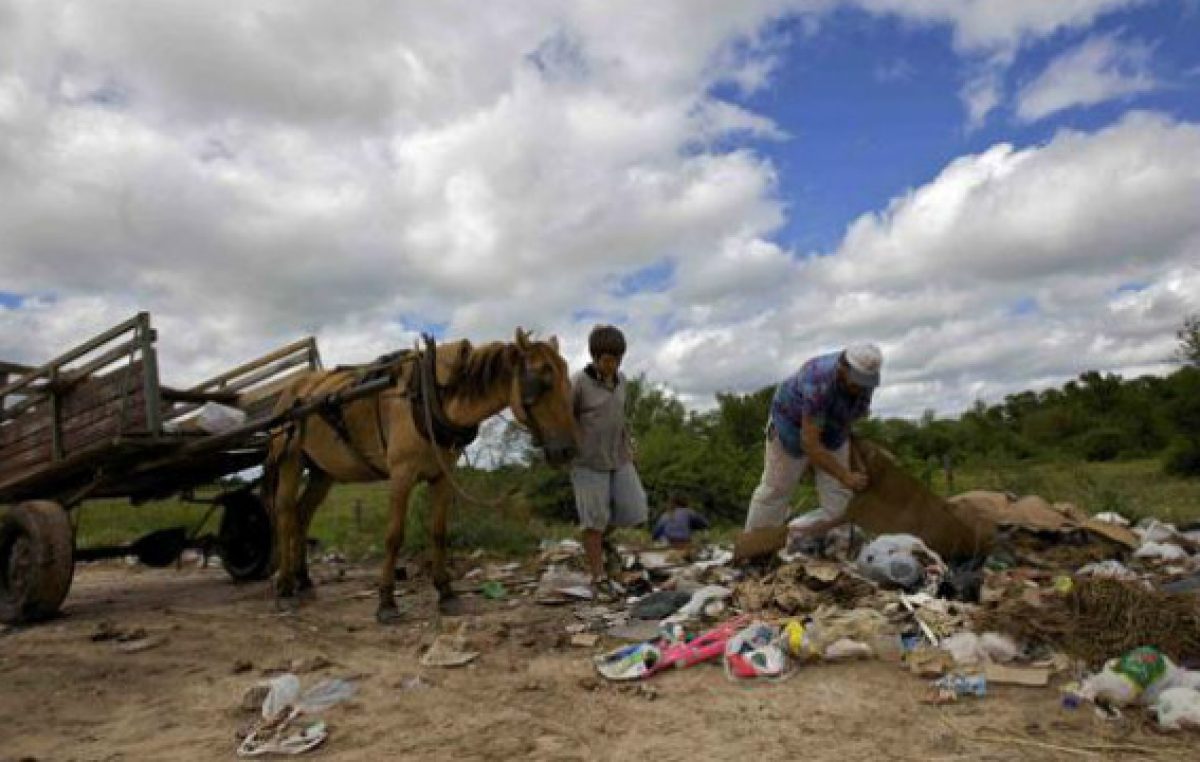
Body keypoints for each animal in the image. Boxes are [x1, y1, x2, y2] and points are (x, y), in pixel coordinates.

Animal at [264, 331, 580, 624]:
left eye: (567, 381)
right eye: (542, 381)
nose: (567, 450)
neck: (431, 394)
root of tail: (292, 391)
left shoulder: (441, 476)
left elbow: (438, 532)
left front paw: (446, 593)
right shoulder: (401, 475)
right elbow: (394, 536)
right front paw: (387, 601)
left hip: (322, 472)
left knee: (302, 515)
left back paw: (304, 580)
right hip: (290, 459)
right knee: (285, 514)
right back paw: (285, 586)